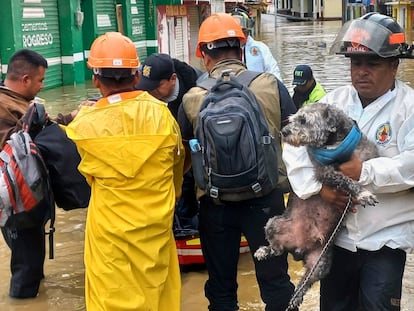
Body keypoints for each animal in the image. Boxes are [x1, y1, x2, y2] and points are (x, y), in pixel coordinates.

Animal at [254, 103, 376, 310]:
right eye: (292, 118)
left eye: (304, 120)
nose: (284, 132)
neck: (336, 145)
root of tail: (298, 249)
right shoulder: (325, 172)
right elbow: (345, 180)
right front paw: (362, 193)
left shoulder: (366, 157)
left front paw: (363, 192)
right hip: (274, 223)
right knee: (277, 250)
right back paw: (265, 251)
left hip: (320, 264)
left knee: (306, 281)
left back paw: (295, 298)